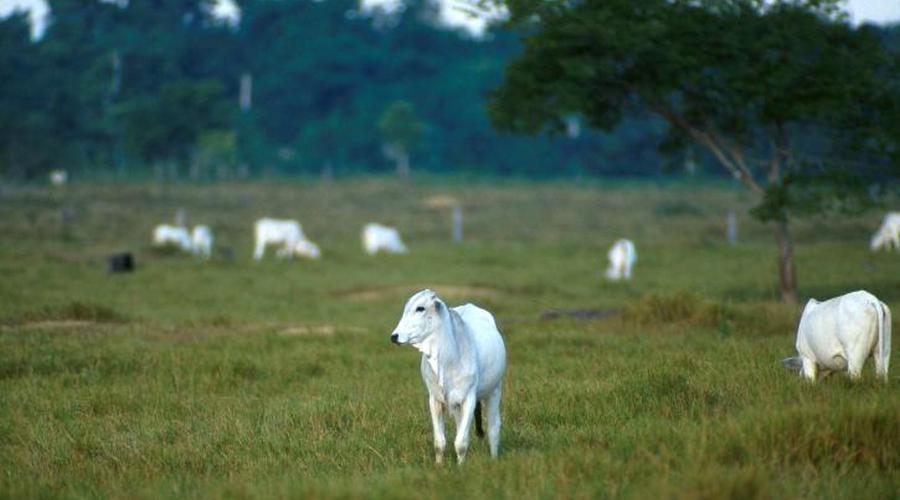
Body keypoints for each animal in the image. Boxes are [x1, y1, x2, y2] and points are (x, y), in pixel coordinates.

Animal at [390, 289, 506, 464]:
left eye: (420, 308)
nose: (394, 336)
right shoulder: (434, 399)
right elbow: (440, 442)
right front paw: (440, 466)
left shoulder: (469, 398)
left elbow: (461, 443)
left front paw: (460, 467)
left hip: (494, 390)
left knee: (493, 428)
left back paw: (493, 458)